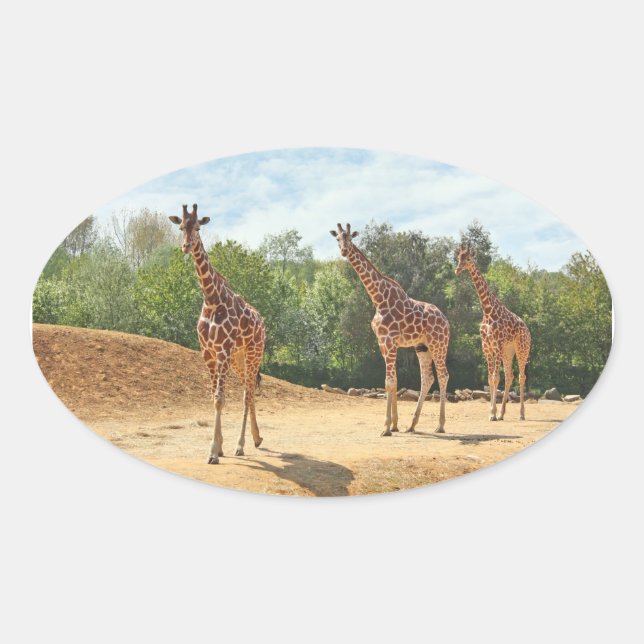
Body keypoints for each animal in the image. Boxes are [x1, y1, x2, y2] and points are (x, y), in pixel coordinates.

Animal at [169, 204, 266, 464]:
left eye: (198, 227)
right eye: (181, 227)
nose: (186, 246)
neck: (211, 299)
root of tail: (262, 321)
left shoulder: (222, 351)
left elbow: (220, 399)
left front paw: (213, 452)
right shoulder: (208, 352)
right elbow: (214, 397)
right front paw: (219, 448)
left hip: (254, 352)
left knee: (247, 393)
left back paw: (242, 445)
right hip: (238, 357)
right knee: (249, 390)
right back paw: (256, 439)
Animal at [330, 223, 450, 435]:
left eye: (350, 239)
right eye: (337, 239)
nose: (344, 251)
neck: (378, 299)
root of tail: (446, 321)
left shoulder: (390, 341)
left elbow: (389, 382)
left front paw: (386, 427)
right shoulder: (383, 343)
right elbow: (393, 381)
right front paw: (394, 424)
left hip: (438, 344)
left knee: (443, 376)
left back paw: (440, 425)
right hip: (422, 346)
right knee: (427, 378)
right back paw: (412, 425)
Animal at [455, 246, 531, 421]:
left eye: (468, 259)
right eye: (458, 257)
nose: (457, 270)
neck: (488, 310)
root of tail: (528, 330)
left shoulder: (497, 345)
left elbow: (496, 378)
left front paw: (493, 413)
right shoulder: (487, 347)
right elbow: (490, 379)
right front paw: (492, 413)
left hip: (522, 349)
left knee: (521, 376)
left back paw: (522, 414)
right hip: (508, 351)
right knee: (510, 376)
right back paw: (502, 414)